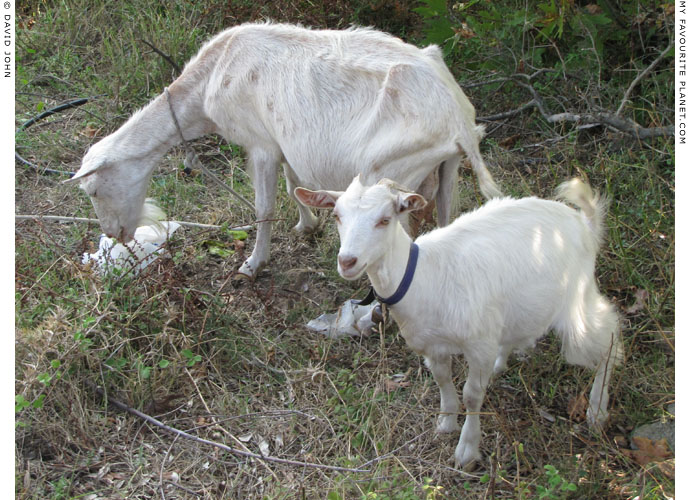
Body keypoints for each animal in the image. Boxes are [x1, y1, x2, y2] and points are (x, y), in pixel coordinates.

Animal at [67, 21, 498, 280]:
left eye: (94, 189)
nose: (115, 234)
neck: (207, 83)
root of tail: (459, 119)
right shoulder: (283, 142)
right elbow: (294, 186)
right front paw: (307, 226)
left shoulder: (259, 143)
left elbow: (265, 205)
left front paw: (253, 264)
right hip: (446, 166)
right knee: (446, 216)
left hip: (392, 173)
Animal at [292, 175, 620, 468]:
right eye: (337, 215)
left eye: (385, 219)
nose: (347, 261)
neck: (423, 275)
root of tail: (584, 223)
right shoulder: (432, 346)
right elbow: (442, 380)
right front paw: (446, 422)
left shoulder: (477, 343)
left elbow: (472, 396)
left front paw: (467, 450)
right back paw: (501, 365)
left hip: (577, 301)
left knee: (609, 336)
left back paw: (596, 410)